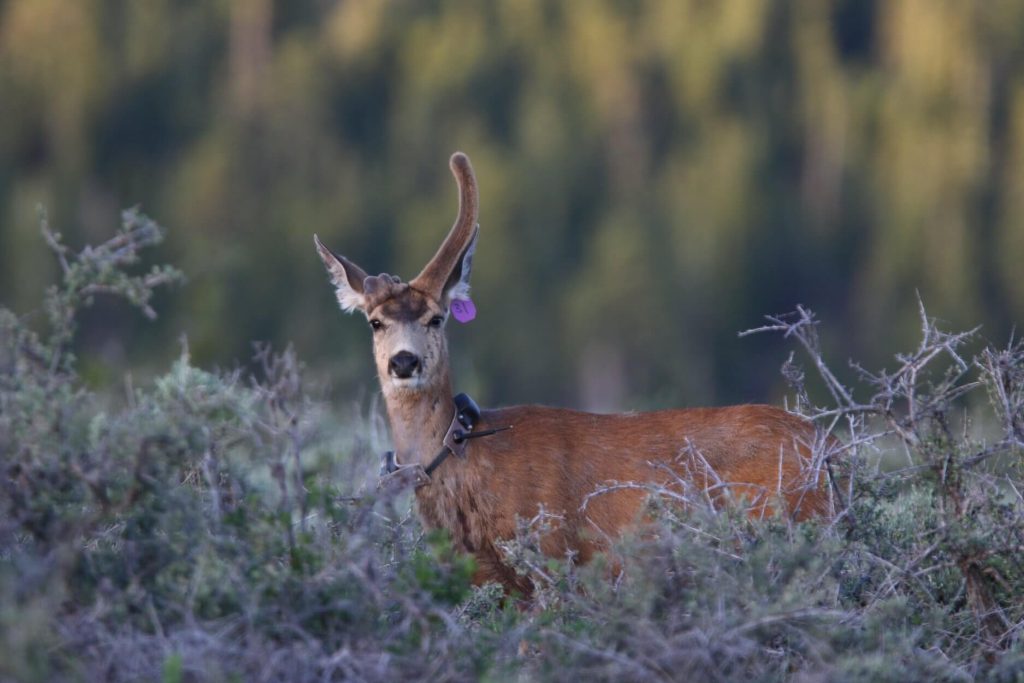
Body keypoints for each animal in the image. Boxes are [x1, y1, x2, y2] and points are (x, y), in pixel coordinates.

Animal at [315, 152, 835, 593]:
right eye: (375, 322)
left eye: (436, 318)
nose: (404, 362)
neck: (468, 460)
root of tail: (829, 454)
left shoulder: (551, 559)